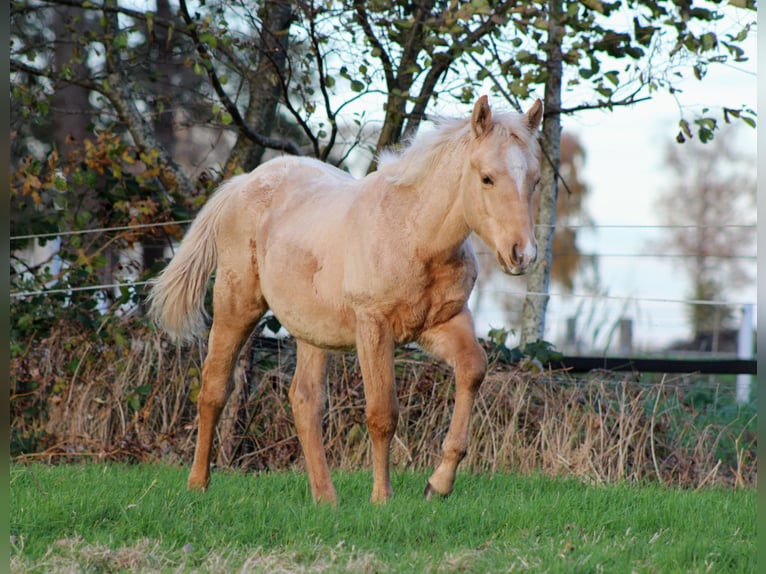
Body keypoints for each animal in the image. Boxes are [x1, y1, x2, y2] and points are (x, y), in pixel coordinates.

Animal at [147, 96, 543, 504]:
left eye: (535, 180)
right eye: (486, 178)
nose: (523, 254)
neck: (415, 234)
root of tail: (244, 182)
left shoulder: (443, 322)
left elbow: (473, 369)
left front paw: (438, 484)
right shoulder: (374, 327)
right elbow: (382, 413)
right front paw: (382, 498)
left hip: (312, 330)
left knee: (305, 400)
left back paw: (326, 498)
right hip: (235, 304)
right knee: (214, 388)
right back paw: (199, 483)